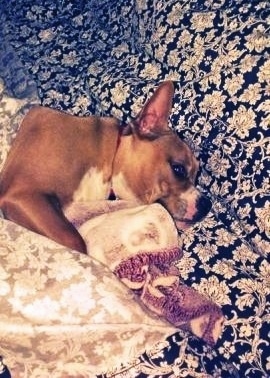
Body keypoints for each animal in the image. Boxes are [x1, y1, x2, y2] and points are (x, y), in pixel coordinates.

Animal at [0, 81, 212, 252]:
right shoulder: (23, 195)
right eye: (178, 169)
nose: (206, 205)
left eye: (197, 174)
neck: (112, 154)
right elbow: (76, 242)